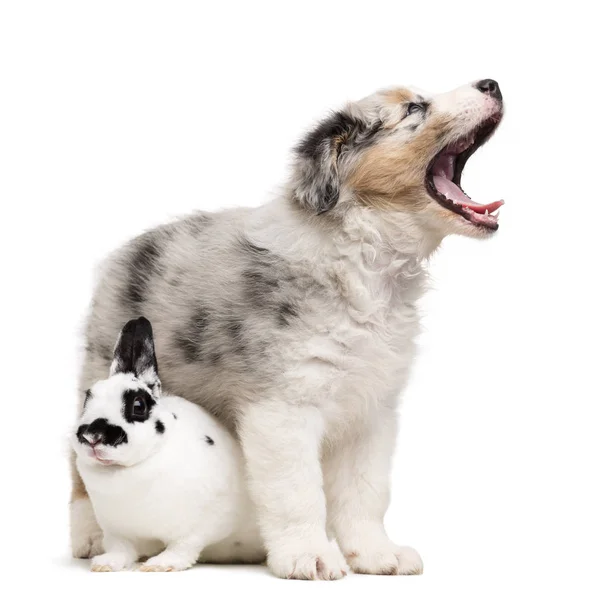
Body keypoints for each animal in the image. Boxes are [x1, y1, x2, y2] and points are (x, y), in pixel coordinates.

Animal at [70, 314, 264, 572]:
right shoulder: (117, 532)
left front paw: (159, 565)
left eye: (138, 405)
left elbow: (182, 548)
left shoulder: (197, 527)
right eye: (88, 398)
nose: (93, 436)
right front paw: (105, 564)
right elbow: (121, 550)